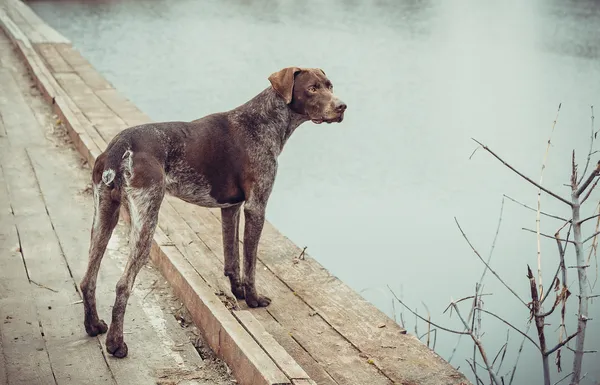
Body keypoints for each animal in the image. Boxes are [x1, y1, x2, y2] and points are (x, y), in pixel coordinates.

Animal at [81, 67, 346, 356]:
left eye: (330, 86)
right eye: (312, 88)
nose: (342, 106)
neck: (264, 121)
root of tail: (118, 147)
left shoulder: (231, 208)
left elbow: (232, 259)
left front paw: (237, 292)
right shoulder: (256, 207)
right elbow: (250, 264)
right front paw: (253, 299)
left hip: (104, 216)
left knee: (88, 279)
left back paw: (93, 326)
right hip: (146, 221)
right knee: (122, 284)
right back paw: (116, 344)